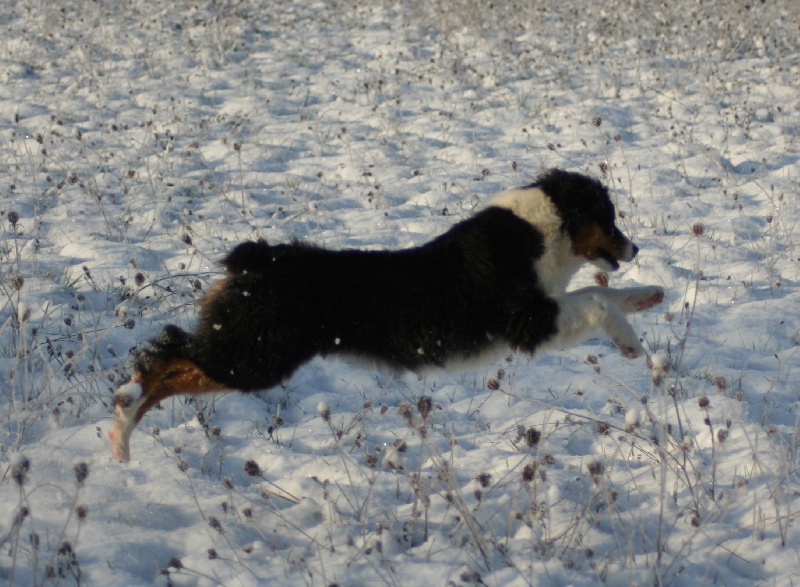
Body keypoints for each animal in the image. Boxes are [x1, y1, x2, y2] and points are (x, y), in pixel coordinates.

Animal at [109, 168, 664, 462]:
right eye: (610, 219)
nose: (635, 247)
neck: (539, 231)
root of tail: (257, 259)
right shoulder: (529, 321)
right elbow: (596, 300)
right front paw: (631, 343)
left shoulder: (547, 309)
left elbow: (606, 293)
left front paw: (651, 295)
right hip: (254, 357)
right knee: (164, 357)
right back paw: (121, 429)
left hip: (248, 354)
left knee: (170, 361)